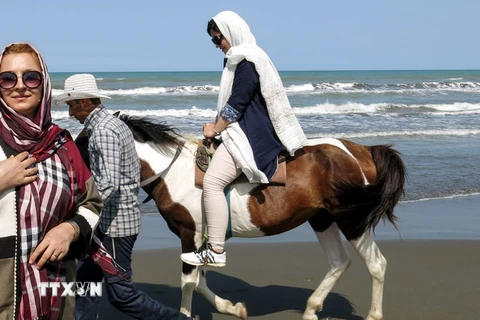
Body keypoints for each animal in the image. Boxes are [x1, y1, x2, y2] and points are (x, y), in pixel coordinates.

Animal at [75, 115, 404, 320]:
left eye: (83, 146)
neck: (174, 173)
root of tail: (359, 150)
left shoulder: (189, 235)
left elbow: (189, 283)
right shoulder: (202, 241)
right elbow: (201, 281)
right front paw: (232, 308)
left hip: (352, 220)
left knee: (376, 264)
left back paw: (373, 314)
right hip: (322, 219)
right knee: (339, 261)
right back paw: (312, 309)